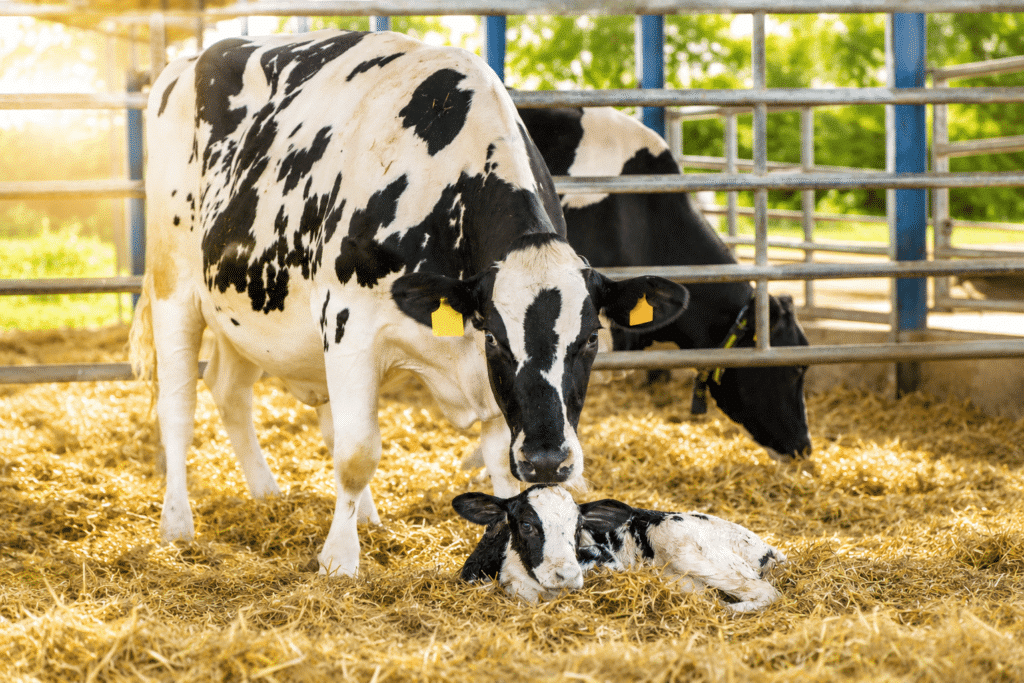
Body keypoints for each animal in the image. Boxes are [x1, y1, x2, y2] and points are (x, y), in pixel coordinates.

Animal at [128, 30, 690, 578]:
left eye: (591, 338)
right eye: (496, 337)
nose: (549, 460)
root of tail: (189, 60)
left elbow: (498, 463)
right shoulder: (350, 327)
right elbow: (356, 452)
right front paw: (339, 560)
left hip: (245, 315)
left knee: (230, 390)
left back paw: (274, 496)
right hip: (175, 286)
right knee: (179, 407)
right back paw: (177, 523)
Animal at [454, 485, 787, 612]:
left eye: (578, 526)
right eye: (526, 525)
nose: (567, 575)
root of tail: (771, 550)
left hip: (683, 542)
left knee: (767, 592)